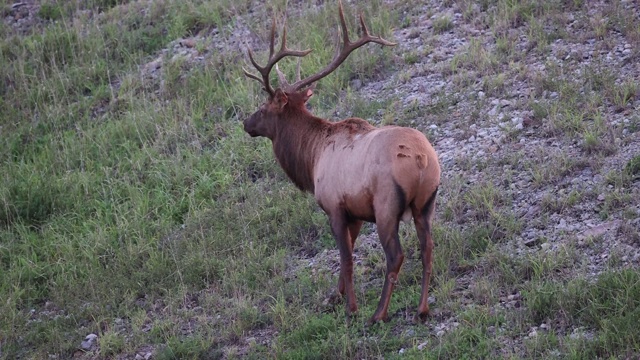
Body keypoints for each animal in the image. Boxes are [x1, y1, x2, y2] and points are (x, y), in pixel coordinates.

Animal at [241, 0, 440, 324]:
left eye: (263, 107)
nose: (246, 123)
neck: (311, 159)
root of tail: (422, 160)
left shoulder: (334, 206)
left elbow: (346, 257)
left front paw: (350, 307)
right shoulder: (355, 212)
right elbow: (350, 250)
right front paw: (334, 297)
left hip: (386, 205)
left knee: (396, 255)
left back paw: (378, 313)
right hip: (426, 203)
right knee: (428, 249)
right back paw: (422, 309)